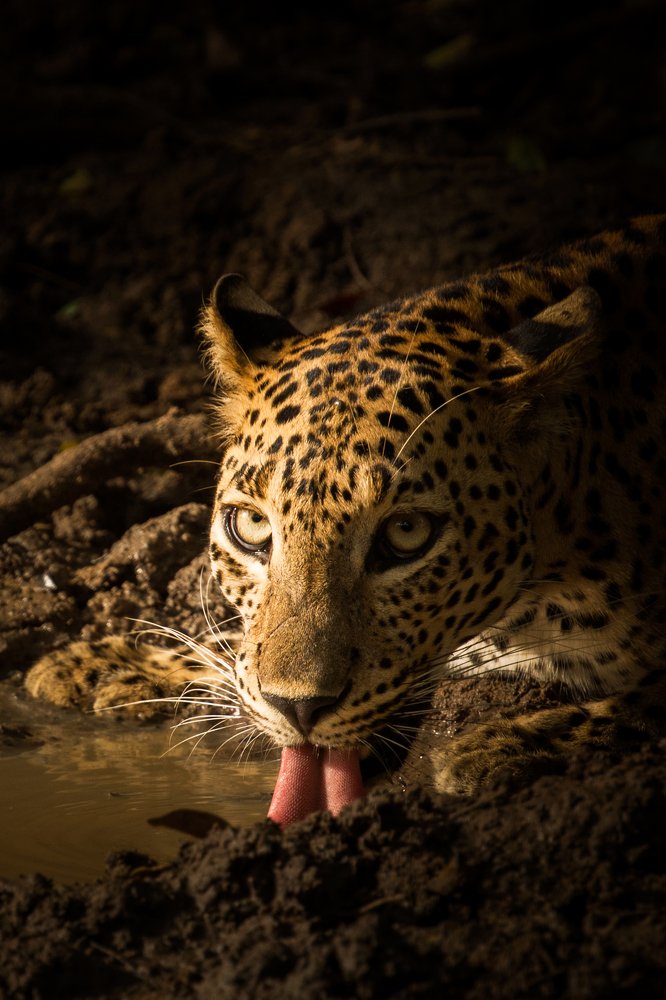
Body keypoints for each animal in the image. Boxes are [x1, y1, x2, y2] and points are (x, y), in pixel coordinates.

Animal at [25, 214, 666, 805]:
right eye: (251, 526)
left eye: (406, 533)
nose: (298, 709)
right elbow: (242, 652)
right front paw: (108, 665)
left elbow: (640, 704)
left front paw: (497, 749)